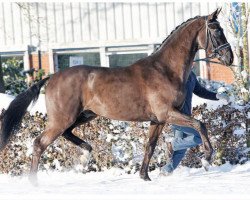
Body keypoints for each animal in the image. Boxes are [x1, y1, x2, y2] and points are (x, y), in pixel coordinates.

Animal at [0, 9, 233, 184]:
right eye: (215, 30)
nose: (229, 58)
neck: (165, 69)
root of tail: (52, 77)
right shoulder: (167, 113)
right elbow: (200, 124)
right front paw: (207, 158)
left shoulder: (157, 120)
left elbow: (150, 146)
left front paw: (144, 176)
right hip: (62, 118)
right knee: (39, 143)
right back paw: (34, 182)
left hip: (85, 115)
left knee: (67, 134)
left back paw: (86, 154)